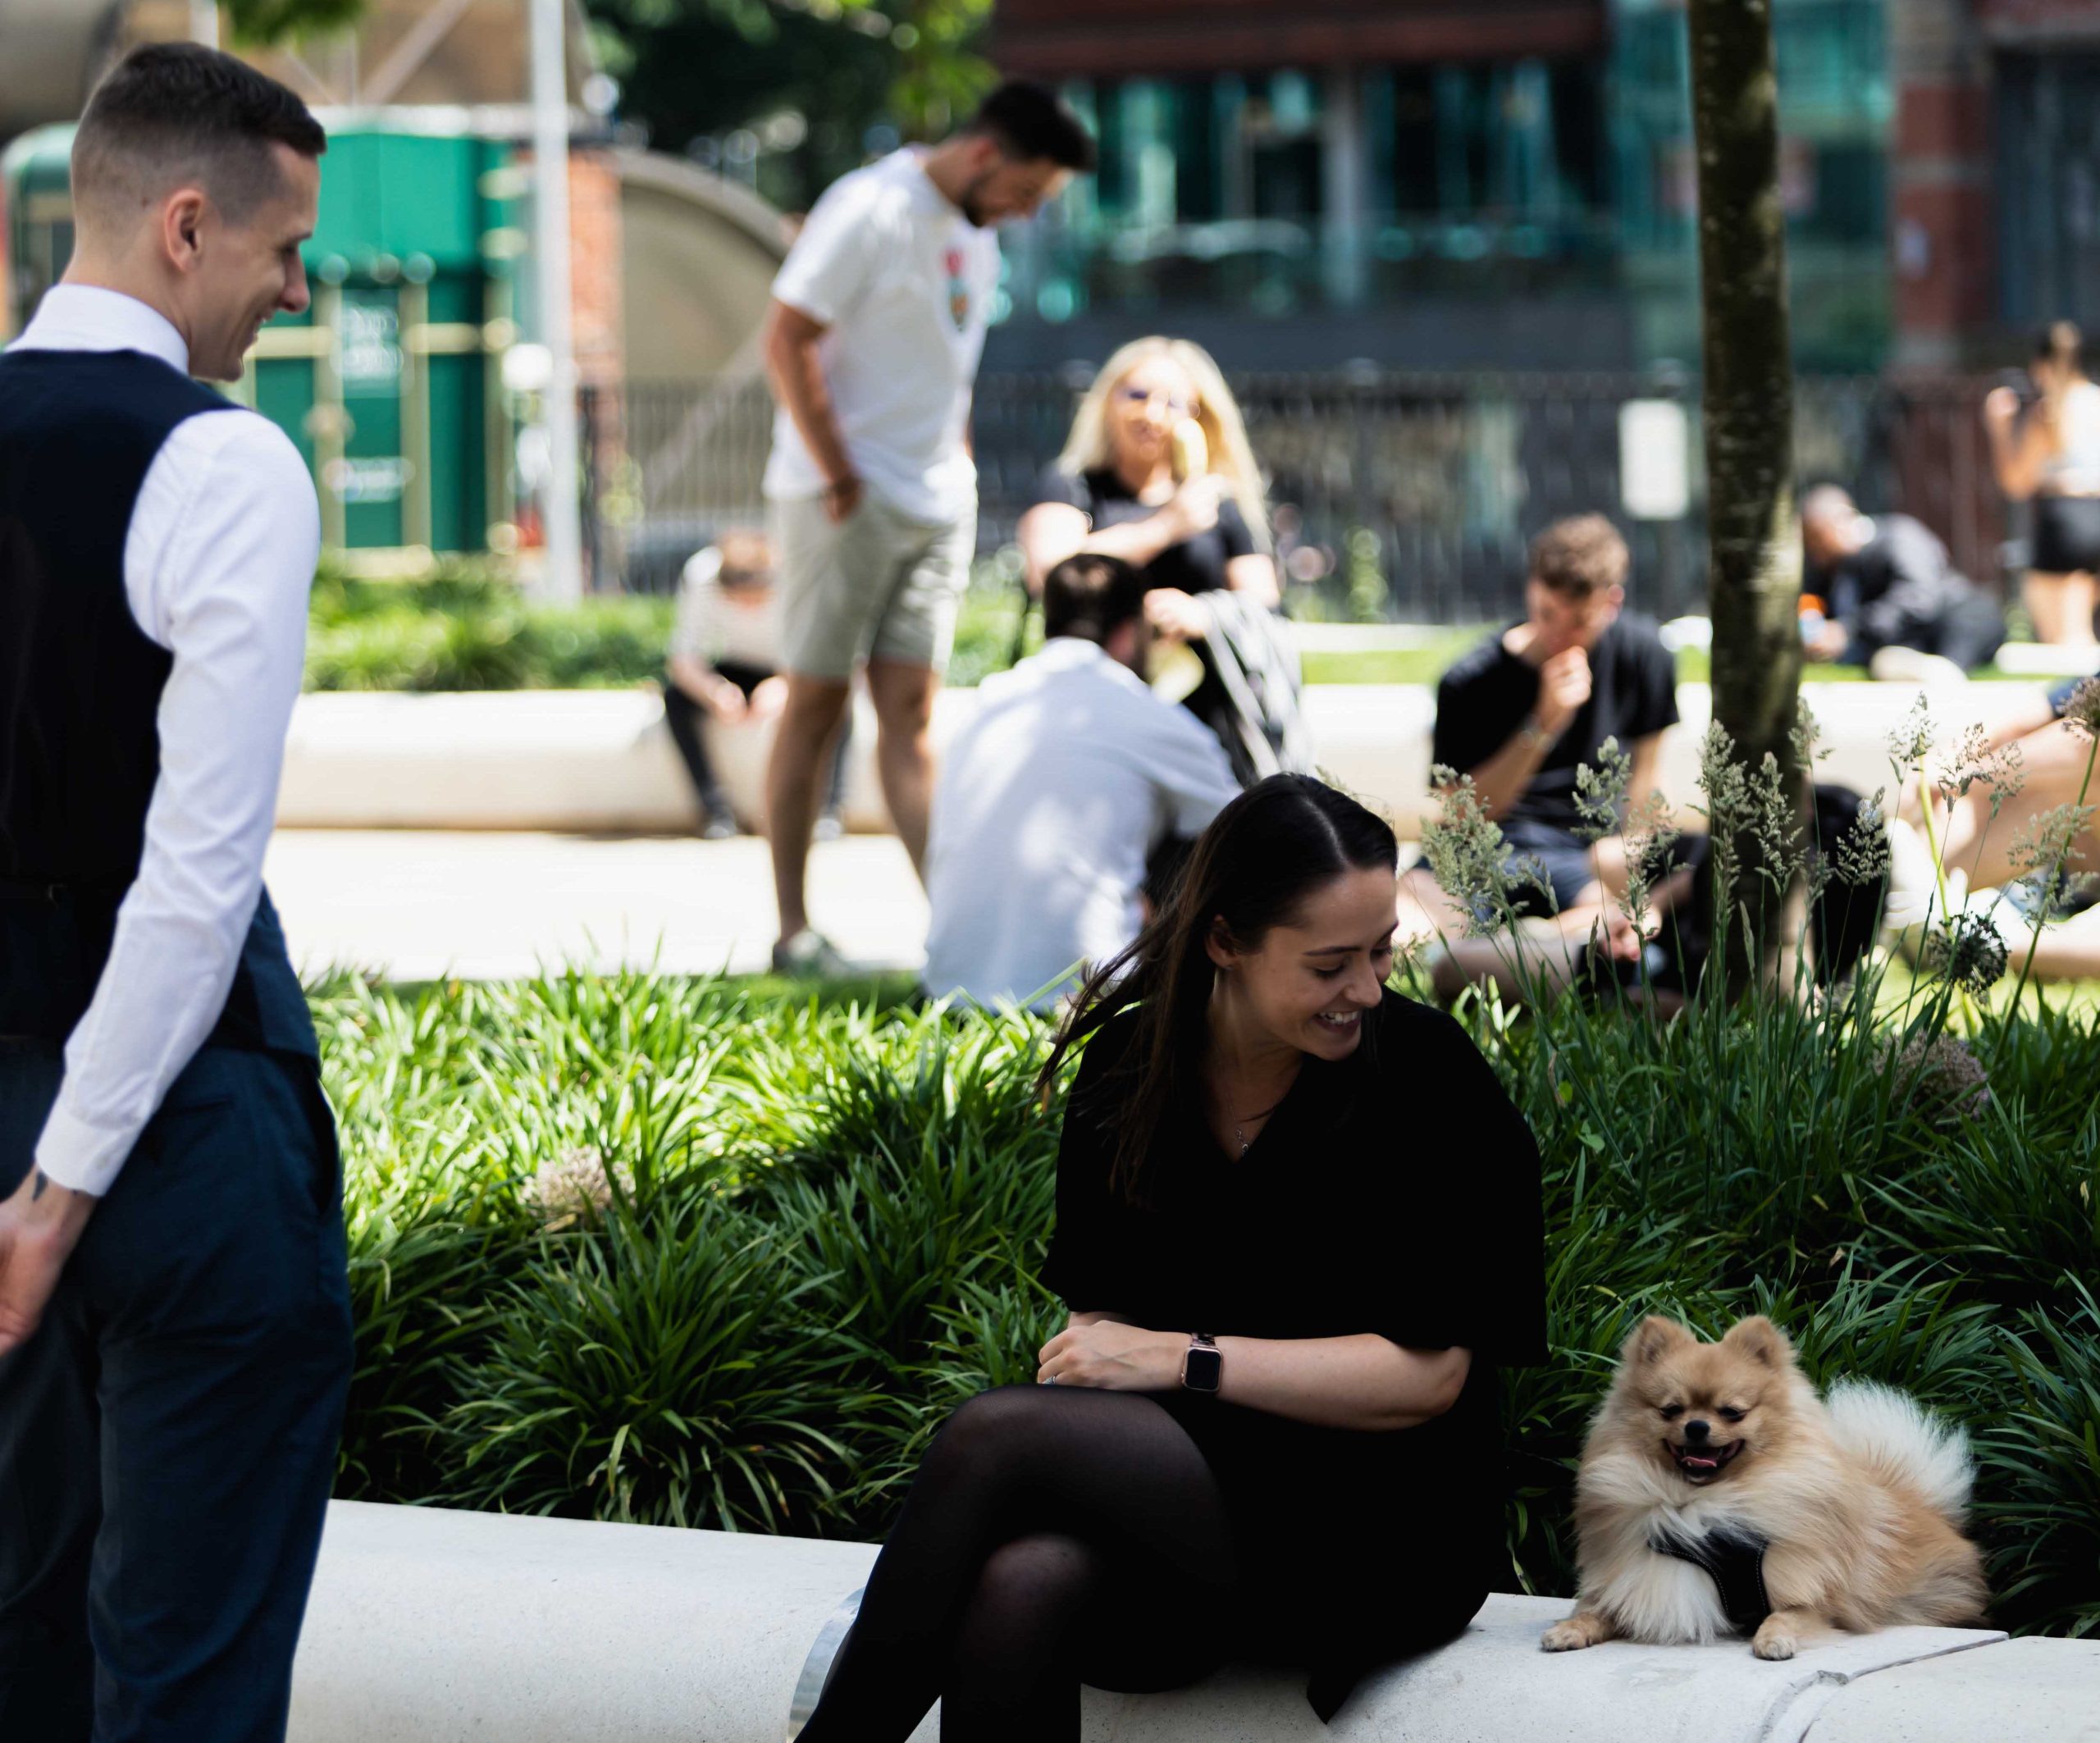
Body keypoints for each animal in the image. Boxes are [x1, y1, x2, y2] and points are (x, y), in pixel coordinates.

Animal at [1545, 1310, 1982, 1663]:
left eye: (1732, 1412)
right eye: (1671, 1410)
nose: (1697, 1426)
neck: (1700, 1500)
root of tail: (1919, 1500)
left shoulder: (1811, 1595)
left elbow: (1786, 1615)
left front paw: (1773, 1640)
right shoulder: (1638, 1581)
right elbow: (1596, 1610)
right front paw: (1568, 1630)